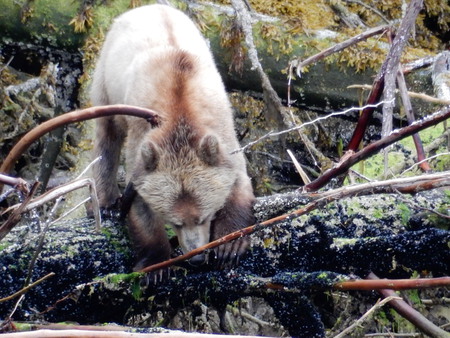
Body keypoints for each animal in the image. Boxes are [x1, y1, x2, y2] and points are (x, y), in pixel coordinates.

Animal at [89, 3, 255, 270]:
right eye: (175, 221)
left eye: (204, 216)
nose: (196, 255)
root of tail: (148, 6)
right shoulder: (142, 137)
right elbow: (140, 203)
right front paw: (155, 263)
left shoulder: (221, 127)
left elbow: (238, 179)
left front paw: (230, 245)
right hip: (107, 77)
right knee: (107, 133)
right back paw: (106, 203)